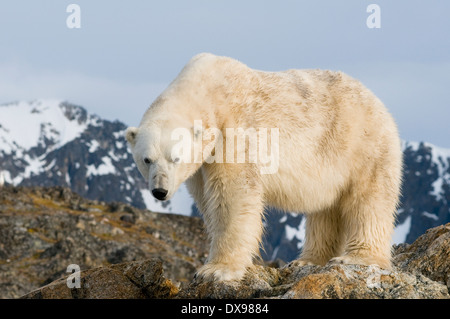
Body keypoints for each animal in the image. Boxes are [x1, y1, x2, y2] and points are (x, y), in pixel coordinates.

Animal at [125, 52, 402, 282]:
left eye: (176, 158)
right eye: (147, 159)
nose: (160, 191)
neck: (207, 87)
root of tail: (380, 103)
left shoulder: (234, 129)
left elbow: (232, 195)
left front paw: (216, 270)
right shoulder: (202, 162)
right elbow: (208, 200)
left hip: (364, 146)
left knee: (368, 200)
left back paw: (357, 257)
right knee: (326, 209)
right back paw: (309, 259)